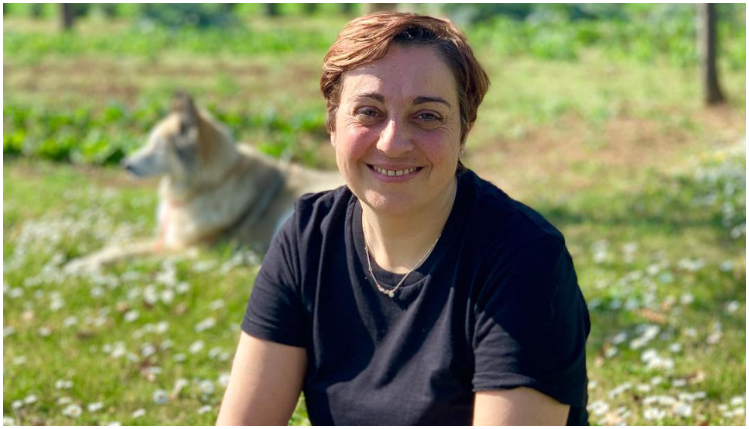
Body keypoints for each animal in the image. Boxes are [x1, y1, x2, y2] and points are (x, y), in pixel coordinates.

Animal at [65, 92, 344, 270]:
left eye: (157, 146)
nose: (125, 164)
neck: (210, 183)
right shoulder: (170, 240)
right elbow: (118, 246)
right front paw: (81, 260)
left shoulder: (188, 248)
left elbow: (129, 252)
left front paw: (85, 265)